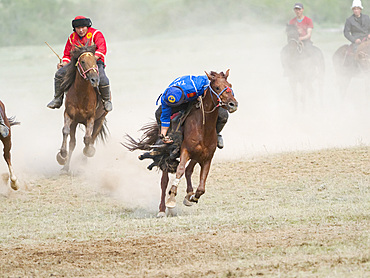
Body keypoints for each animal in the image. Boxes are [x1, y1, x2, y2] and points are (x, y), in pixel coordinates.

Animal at [124, 70, 238, 217]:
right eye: (217, 87)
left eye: (230, 85)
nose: (232, 104)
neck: (203, 127)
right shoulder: (185, 151)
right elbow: (180, 171)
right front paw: (171, 199)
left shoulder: (207, 157)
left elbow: (201, 185)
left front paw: (192, 196)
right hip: (166, 158)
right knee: (164, 182)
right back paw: (162, 209)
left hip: (195, 156)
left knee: (189, 171)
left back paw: (188, 195)